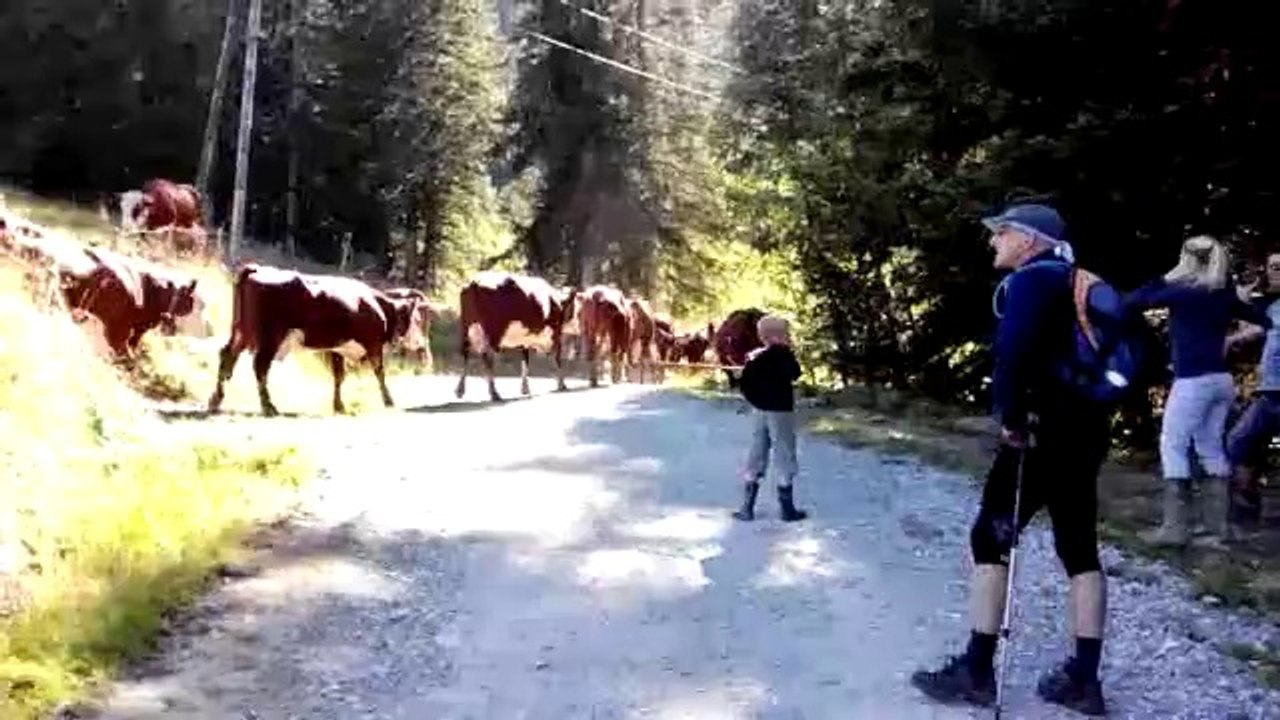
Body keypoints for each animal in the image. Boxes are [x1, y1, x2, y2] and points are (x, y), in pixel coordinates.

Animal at [207, 264, 430, 417]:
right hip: (270, 337)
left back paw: (215, 400)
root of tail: (256, 269)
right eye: (418, 320)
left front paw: (339, 406)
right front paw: (389, 401)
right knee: (260, 366)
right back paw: (268, 407)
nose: (423, 345)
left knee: (227, 356)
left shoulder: (337, 348)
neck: (376, 305)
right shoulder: (373, 345)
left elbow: (339, 377)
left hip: (240, 332)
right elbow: (380, 373)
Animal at [453, 270, 579, 402]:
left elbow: (525, 360)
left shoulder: (525, 339)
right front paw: (562, 384)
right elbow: (556, 357)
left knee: (466, 353)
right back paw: (494, 393)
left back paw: (460, 390)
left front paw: (525, 388)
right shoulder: (555, 333)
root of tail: (475, 282)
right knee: (488, 357)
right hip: (494, 331)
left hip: (466, 327)